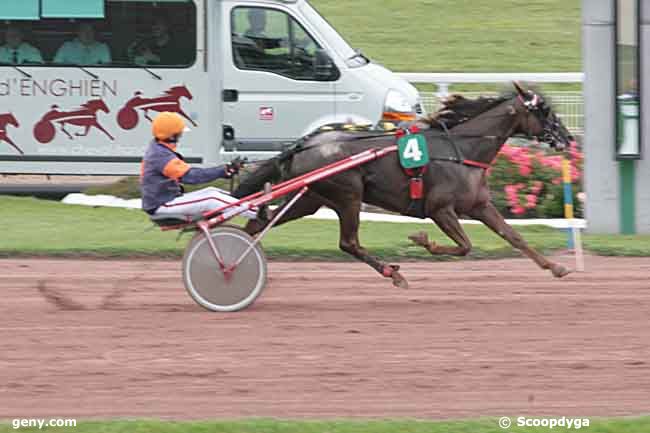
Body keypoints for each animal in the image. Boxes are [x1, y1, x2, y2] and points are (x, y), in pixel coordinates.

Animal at [233, 82, 572, 288]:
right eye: (544, 111)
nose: (567, 138)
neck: (462, 149)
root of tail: (304, 143)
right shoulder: (440, 209)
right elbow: (464, 246)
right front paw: (423, 240)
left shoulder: (479, 205)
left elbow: (513, 236)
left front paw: (556, 267)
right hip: (348, 195)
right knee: (348, 243)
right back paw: (392, 272)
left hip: (310, 199)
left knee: (257, 224)